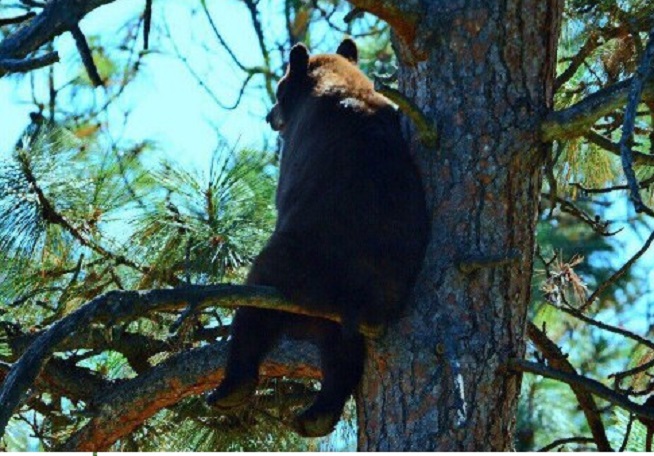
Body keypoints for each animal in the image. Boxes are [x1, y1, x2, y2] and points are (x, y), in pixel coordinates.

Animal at [206, 39, 430, 438]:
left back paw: (231, 388)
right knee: (342, 353)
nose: (270, 116)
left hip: (294, 264)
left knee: (257, 306)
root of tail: (356, 295)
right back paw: (317, 414)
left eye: (279, 90)